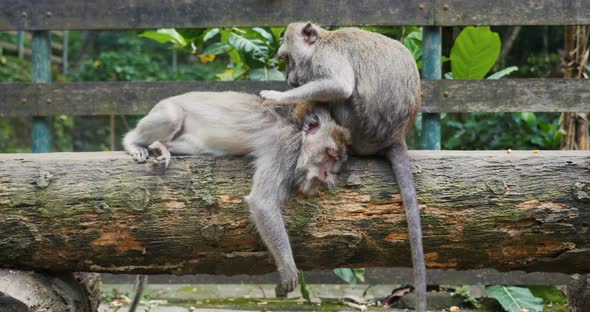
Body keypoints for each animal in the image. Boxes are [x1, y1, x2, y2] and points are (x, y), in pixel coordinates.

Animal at [121, 91, 352, 310]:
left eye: (336, 162)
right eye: (330, 154)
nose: (326, 175)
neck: (299, 130)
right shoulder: (286, 146)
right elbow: (263, 202)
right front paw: (288, 268)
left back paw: (162, 146)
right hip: (167, 109)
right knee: (170, 117)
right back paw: (132, 143)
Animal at [262, 23, 428, 310]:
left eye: (286, 58)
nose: (290, 78)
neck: (322, 41)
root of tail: (397, 136)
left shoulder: (325, 58)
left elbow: (339, 86)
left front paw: (277, 97)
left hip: (360, 129)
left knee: (338, 98)